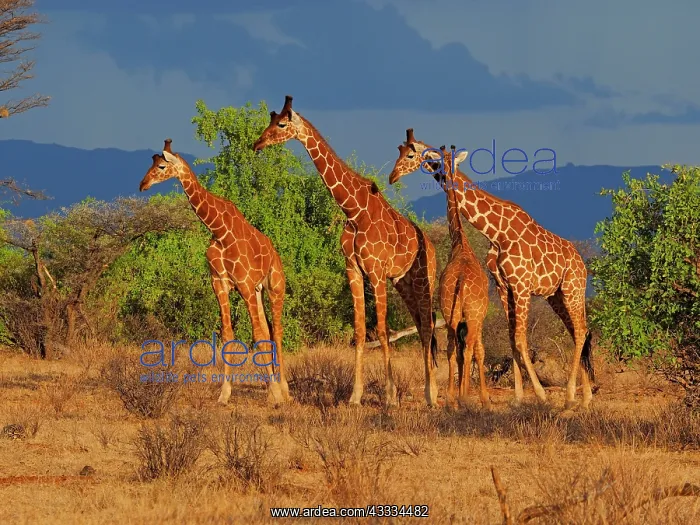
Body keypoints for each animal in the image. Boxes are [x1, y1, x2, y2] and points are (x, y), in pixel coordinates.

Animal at [139, 139, 291, 406]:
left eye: (160, 166)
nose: (142, 184)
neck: (219, 230)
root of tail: (275, 253)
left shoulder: (243, 283)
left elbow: (256, 334)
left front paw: (275, 393)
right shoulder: (219, 283)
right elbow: (228, 334)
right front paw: (224, 393)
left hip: (275, 286)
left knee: (277, 331)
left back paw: (282, 389)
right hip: (257, 290)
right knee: (268, 328)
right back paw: (269, 385)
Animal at [253, 96, 439, 407]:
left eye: (281, 124)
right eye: (270, 121)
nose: (257, 143)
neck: (354, 211)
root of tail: (433, 246)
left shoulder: (375, 272)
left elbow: (383, 331)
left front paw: (390, 397)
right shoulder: (353, 269)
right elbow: (361, 330)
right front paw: (355, 396)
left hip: (426, 281)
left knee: (428, 326)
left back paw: (432, 395)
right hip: (403, 283)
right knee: (422, 324)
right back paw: (430, 391)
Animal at [389, 129, 594, 410]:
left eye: (410, 154)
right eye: (398, 151)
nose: (392, 177)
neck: (497, 232)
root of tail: (581, 263)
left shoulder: (521, 285)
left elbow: (520, 338)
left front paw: (540, 394)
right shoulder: (503, 285)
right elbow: (511, 337)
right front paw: (518, 398)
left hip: (573, 288)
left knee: (581, 331)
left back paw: (571, 395)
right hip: (556, 296)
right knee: (577, 332)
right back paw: (586, 397)